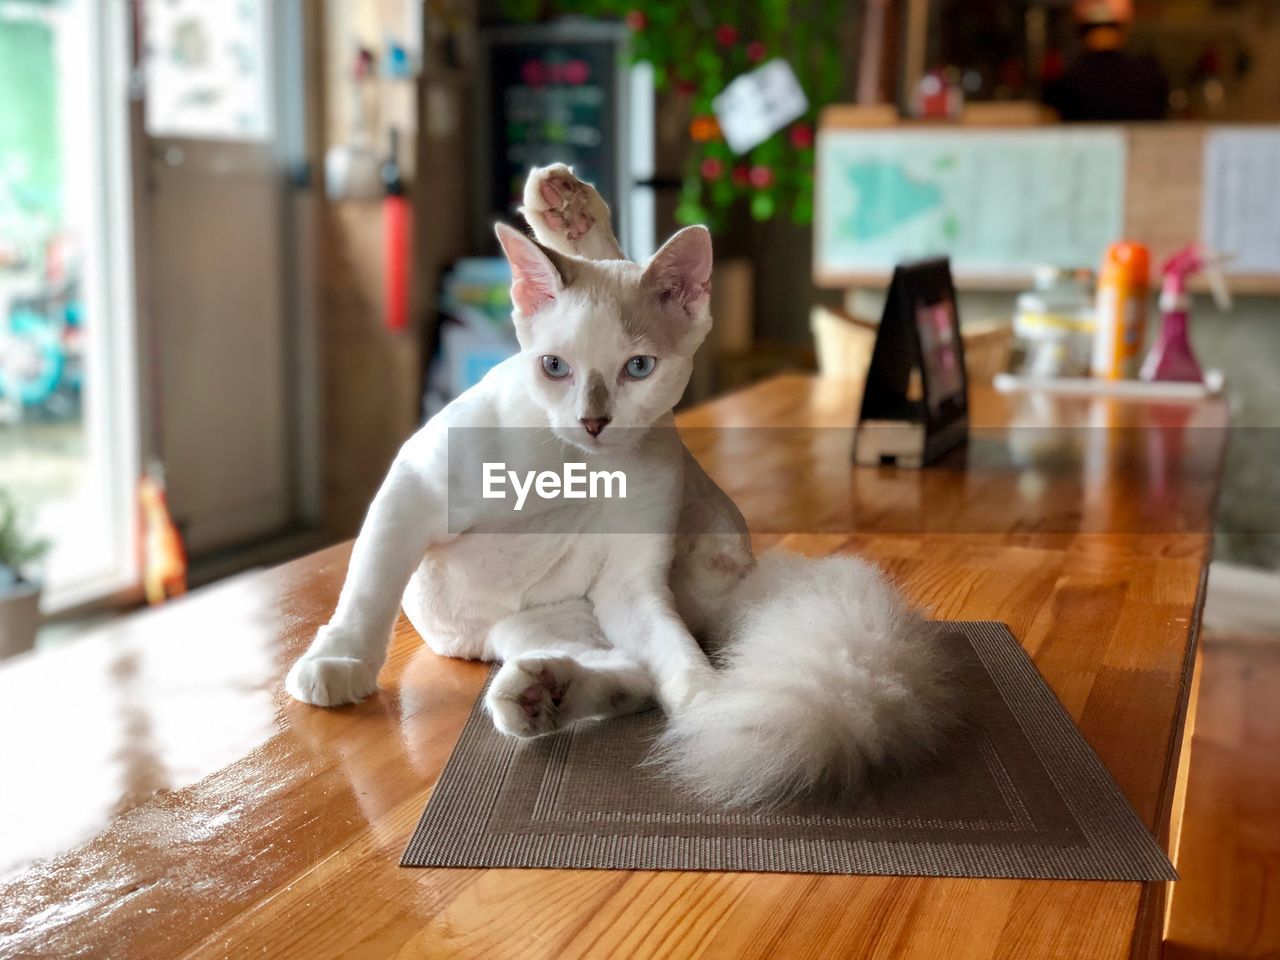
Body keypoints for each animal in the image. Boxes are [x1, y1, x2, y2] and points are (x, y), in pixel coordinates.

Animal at [285, 167, 957, 814]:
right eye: (555, 367)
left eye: (638, 368)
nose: (593, 422)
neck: (574, 467)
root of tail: (747, 576)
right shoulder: (413, 489)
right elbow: (366, 593)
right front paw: (337, 664)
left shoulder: (631, 582)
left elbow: (680, 667)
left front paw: (713, 719)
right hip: (538, 621)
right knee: (628, 671)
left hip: (601, 587)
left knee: (640, 674)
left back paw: (545, 698)